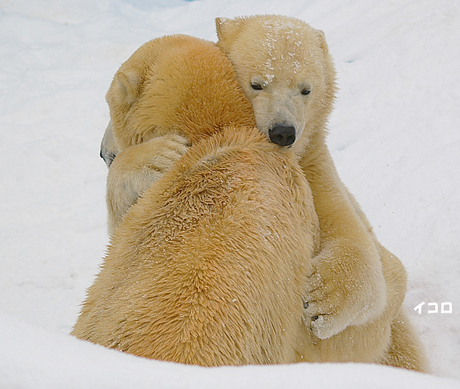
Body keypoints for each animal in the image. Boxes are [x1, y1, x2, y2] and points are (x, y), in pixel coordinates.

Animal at [216, 15, 428, 372]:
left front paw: (319, 299)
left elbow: (359, 249)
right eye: (257, 84)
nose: (283, 132)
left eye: (306, 89)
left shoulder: (316, 167)